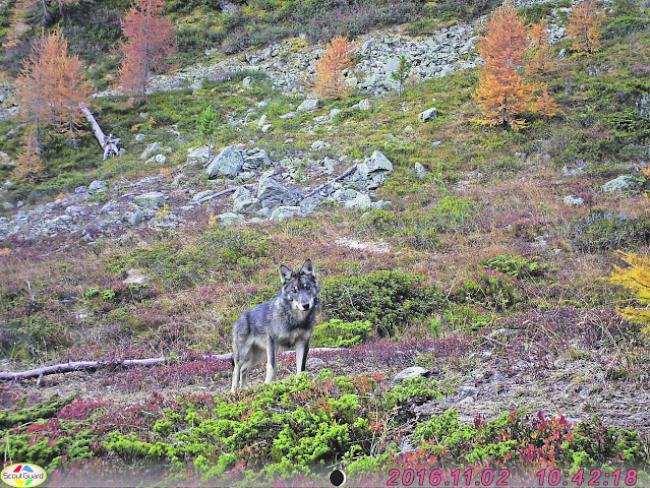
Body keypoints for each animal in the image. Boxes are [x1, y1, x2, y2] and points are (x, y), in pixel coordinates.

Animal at [230, 260, 318, 392]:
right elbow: (272, 367)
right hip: (243, 354)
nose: (306, 305)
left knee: (243, 369)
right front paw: (269, 386)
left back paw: (245, 389)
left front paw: (300, 385)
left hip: (258, 356)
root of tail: (239, 317)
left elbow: (301, 369)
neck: (295, 319)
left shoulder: (303, 343)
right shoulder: (273, 343)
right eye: (294, 290)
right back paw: (233, 391)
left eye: (307, 288)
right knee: (236, 370)